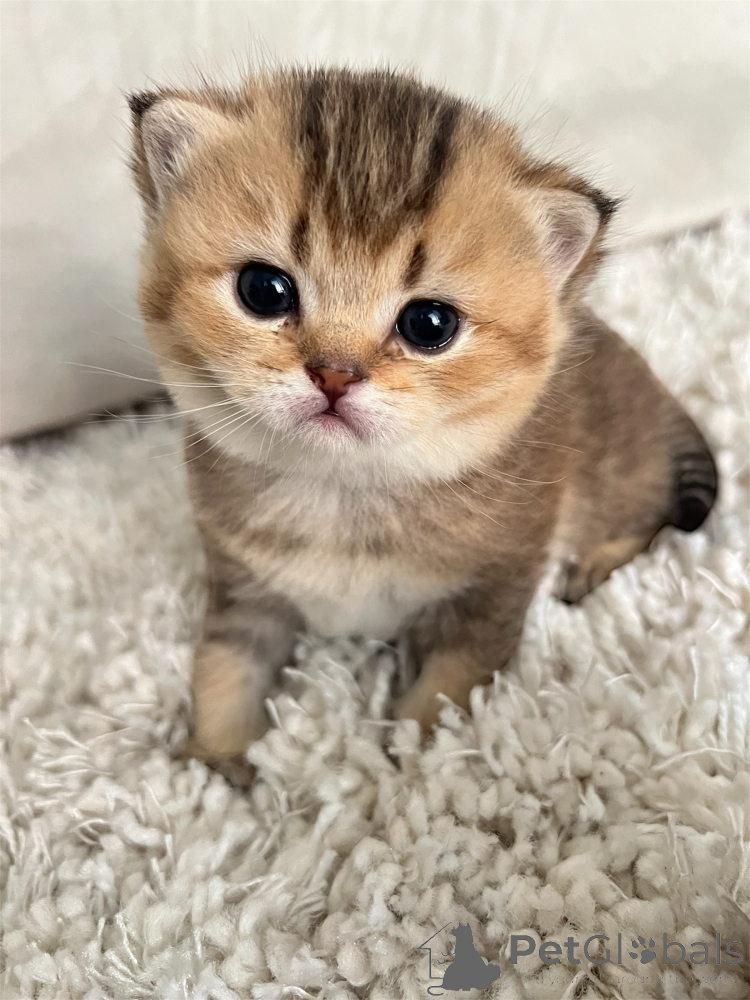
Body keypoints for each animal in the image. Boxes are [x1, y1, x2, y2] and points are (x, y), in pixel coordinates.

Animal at [128, 68, 717, 782]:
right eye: (263, 290)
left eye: (429, 324)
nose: (334, 375)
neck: (346, 495)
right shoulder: (242, 584)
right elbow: (222, 665)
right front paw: (214, 761)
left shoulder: (496, 586)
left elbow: (453, 680)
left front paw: (412, 756)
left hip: (623, 483)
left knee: (652, 524)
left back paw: (591, 568)